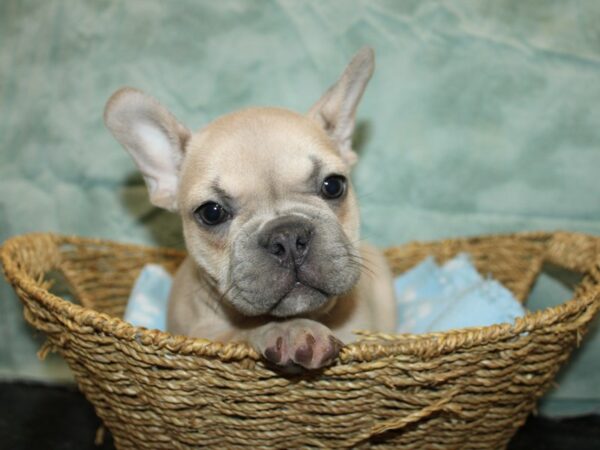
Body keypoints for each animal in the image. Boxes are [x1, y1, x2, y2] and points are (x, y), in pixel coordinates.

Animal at [105, 48, 396, 370]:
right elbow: (239, 332)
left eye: (333, 185)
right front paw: (292, 331)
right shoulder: (202, 333)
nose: (287, 236)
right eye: (211, 212)